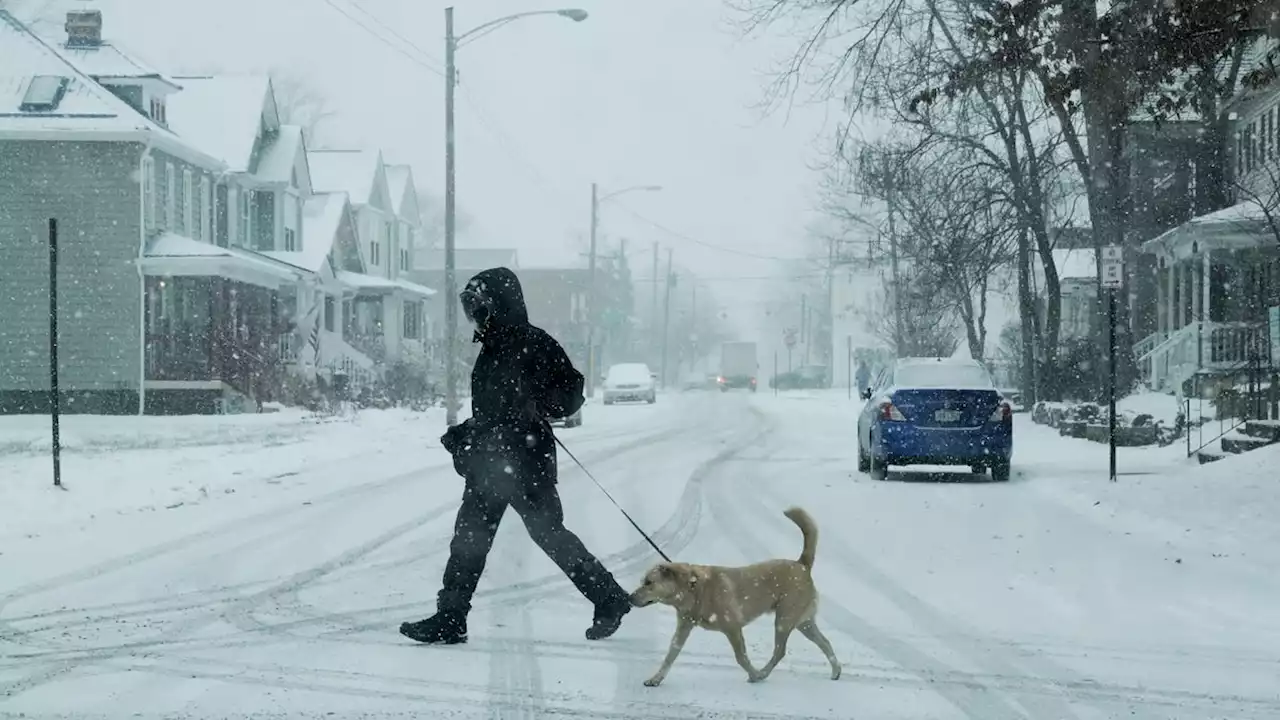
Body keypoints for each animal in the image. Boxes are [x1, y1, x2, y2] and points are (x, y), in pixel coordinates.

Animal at [627, 504, 839, 681]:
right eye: (643, 581)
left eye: (649, 583)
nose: (629, 598)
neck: (693, 588)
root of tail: (801, 564)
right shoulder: (684, 628)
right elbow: (671, 655)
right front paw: (656, 679)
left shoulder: (733, 628)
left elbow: (741, 657)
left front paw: (753, 675)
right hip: (803, 622)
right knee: (825, 642)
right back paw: (836, 671)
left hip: (783, 620)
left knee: (780, 651)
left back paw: (763, 673)